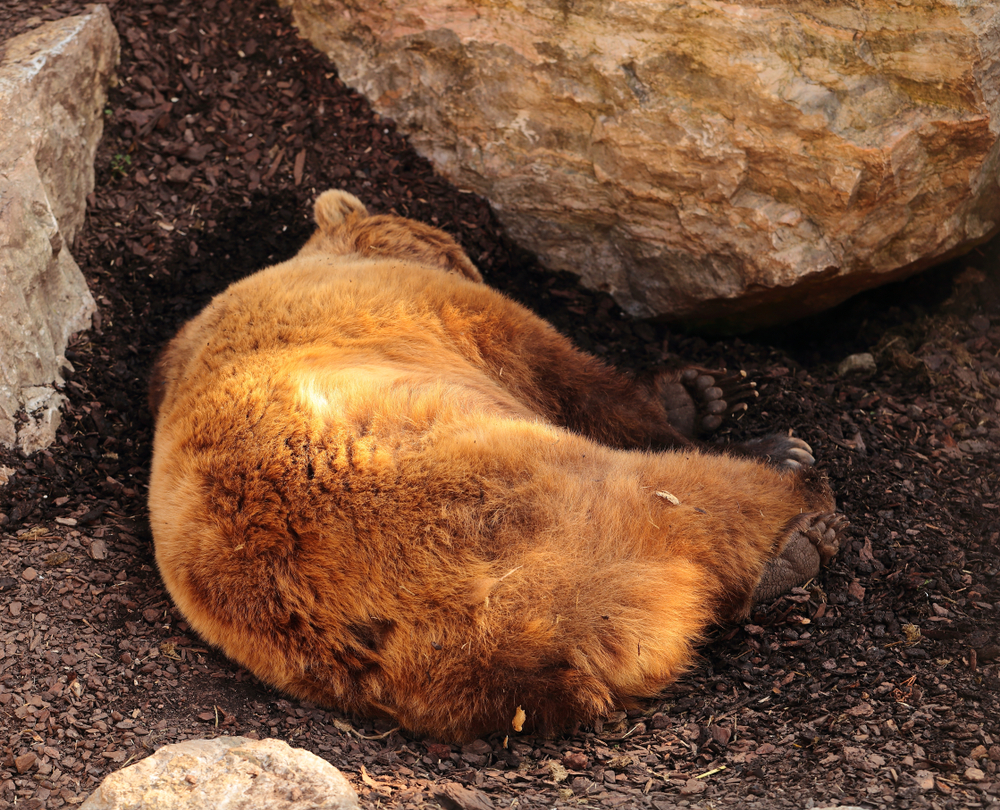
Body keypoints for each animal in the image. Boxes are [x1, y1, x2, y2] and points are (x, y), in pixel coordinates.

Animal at [148, 188, 844, 740]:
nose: (474, 258)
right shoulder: (438, 314)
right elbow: (577, 381)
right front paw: (733, 420)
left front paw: (696, 392)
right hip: (519, 499)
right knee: (677, 493)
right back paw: (795, 523)